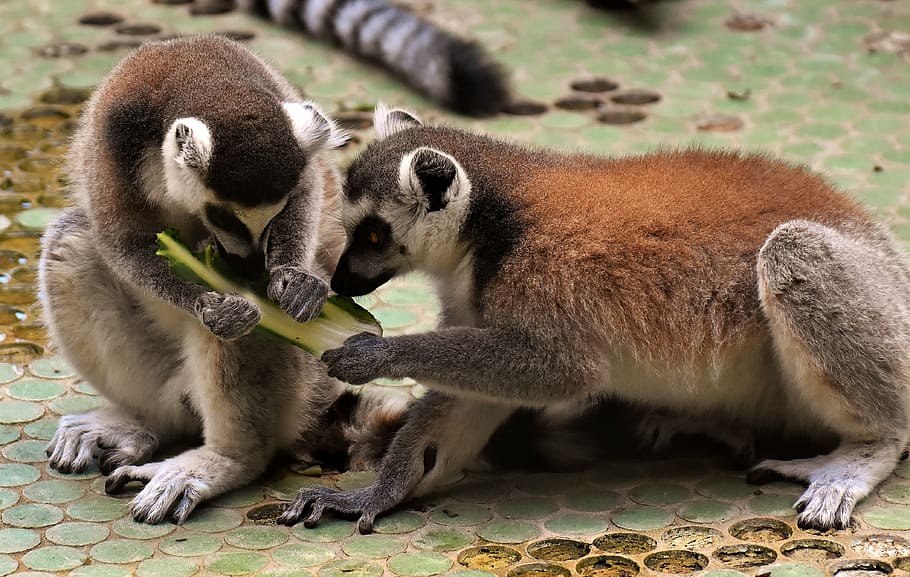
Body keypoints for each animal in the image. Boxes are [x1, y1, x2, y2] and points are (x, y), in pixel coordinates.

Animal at [37, 34, 357, 524]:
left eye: (275, 214)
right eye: (224, 217)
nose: (250, 270)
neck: (204, 78)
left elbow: (309, 191)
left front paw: (295, 279)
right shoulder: (113, 144)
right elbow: (120, 241)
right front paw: (210, 305)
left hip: (309, 384)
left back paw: (228, 457)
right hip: (162, 381)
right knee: (70, 240)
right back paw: (142, 421)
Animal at [277, 104, 910, 533]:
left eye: (373, 234)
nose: (340, 283)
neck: (491, 224)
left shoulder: (544, 271)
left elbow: (560, 370)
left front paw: (374, 353)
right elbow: (470, 395)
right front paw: (376, 495)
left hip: (883, 315)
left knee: (793, 251)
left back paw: (864, 452)